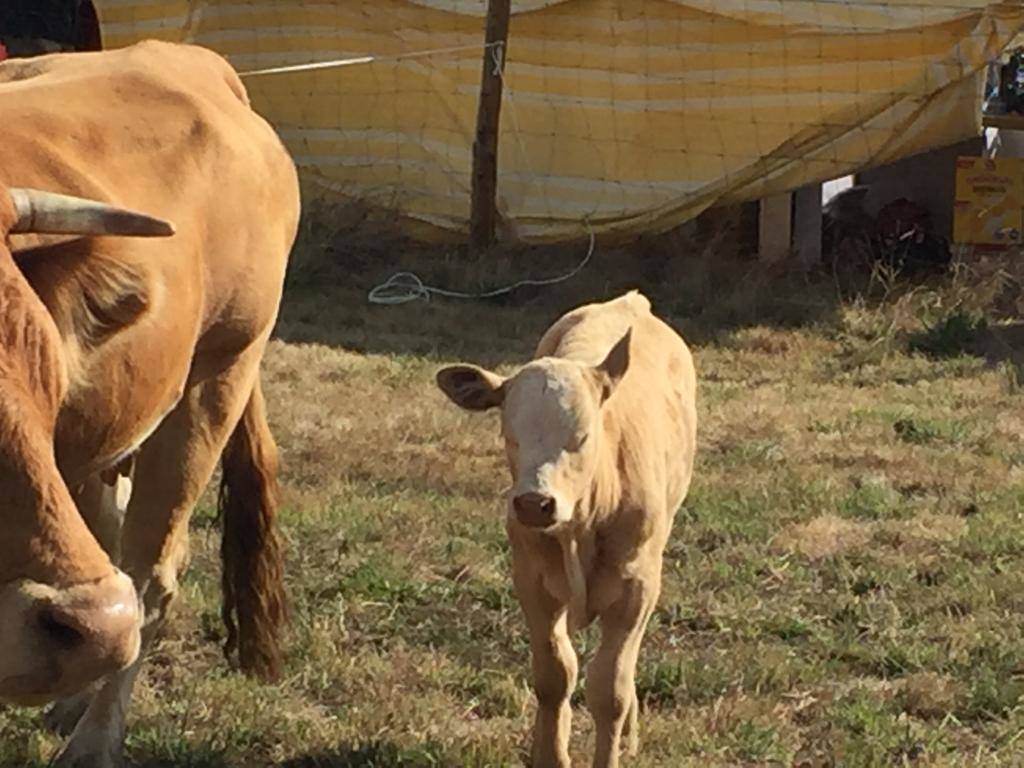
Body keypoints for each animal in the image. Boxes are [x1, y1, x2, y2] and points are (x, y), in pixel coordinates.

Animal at [436, 292, 700, 768]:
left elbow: (610, 690)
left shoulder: (636, 590)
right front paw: (548, 753)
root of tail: (631, 299)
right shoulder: (533, 583)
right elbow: (555, 676)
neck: (582, 526)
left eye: (583, 435)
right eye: (510, 434)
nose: (534, 504)